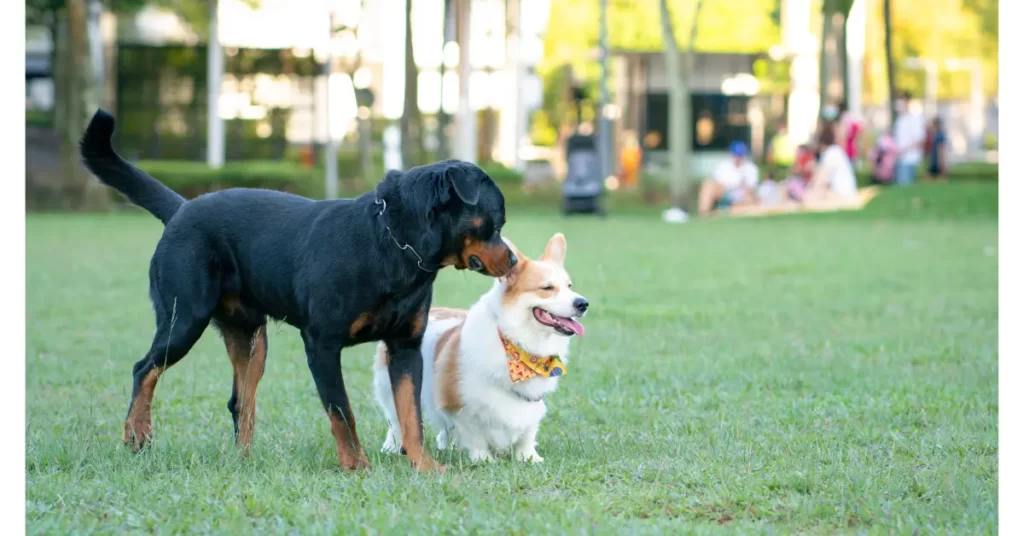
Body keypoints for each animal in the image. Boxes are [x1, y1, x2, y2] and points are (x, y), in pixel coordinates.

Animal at [76, 111, 516, 471]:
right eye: (495, 224)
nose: (512, 260)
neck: (397, 244)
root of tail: (182, 208)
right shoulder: (321, 343)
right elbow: (342, 411)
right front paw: (356, 467)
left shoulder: (405, 347)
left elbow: (411, 415)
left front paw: (424, 467)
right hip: (183, 317)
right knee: (144, 369)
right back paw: (137, 433)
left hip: (250, 338)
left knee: (240, 401)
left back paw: (243, 462)